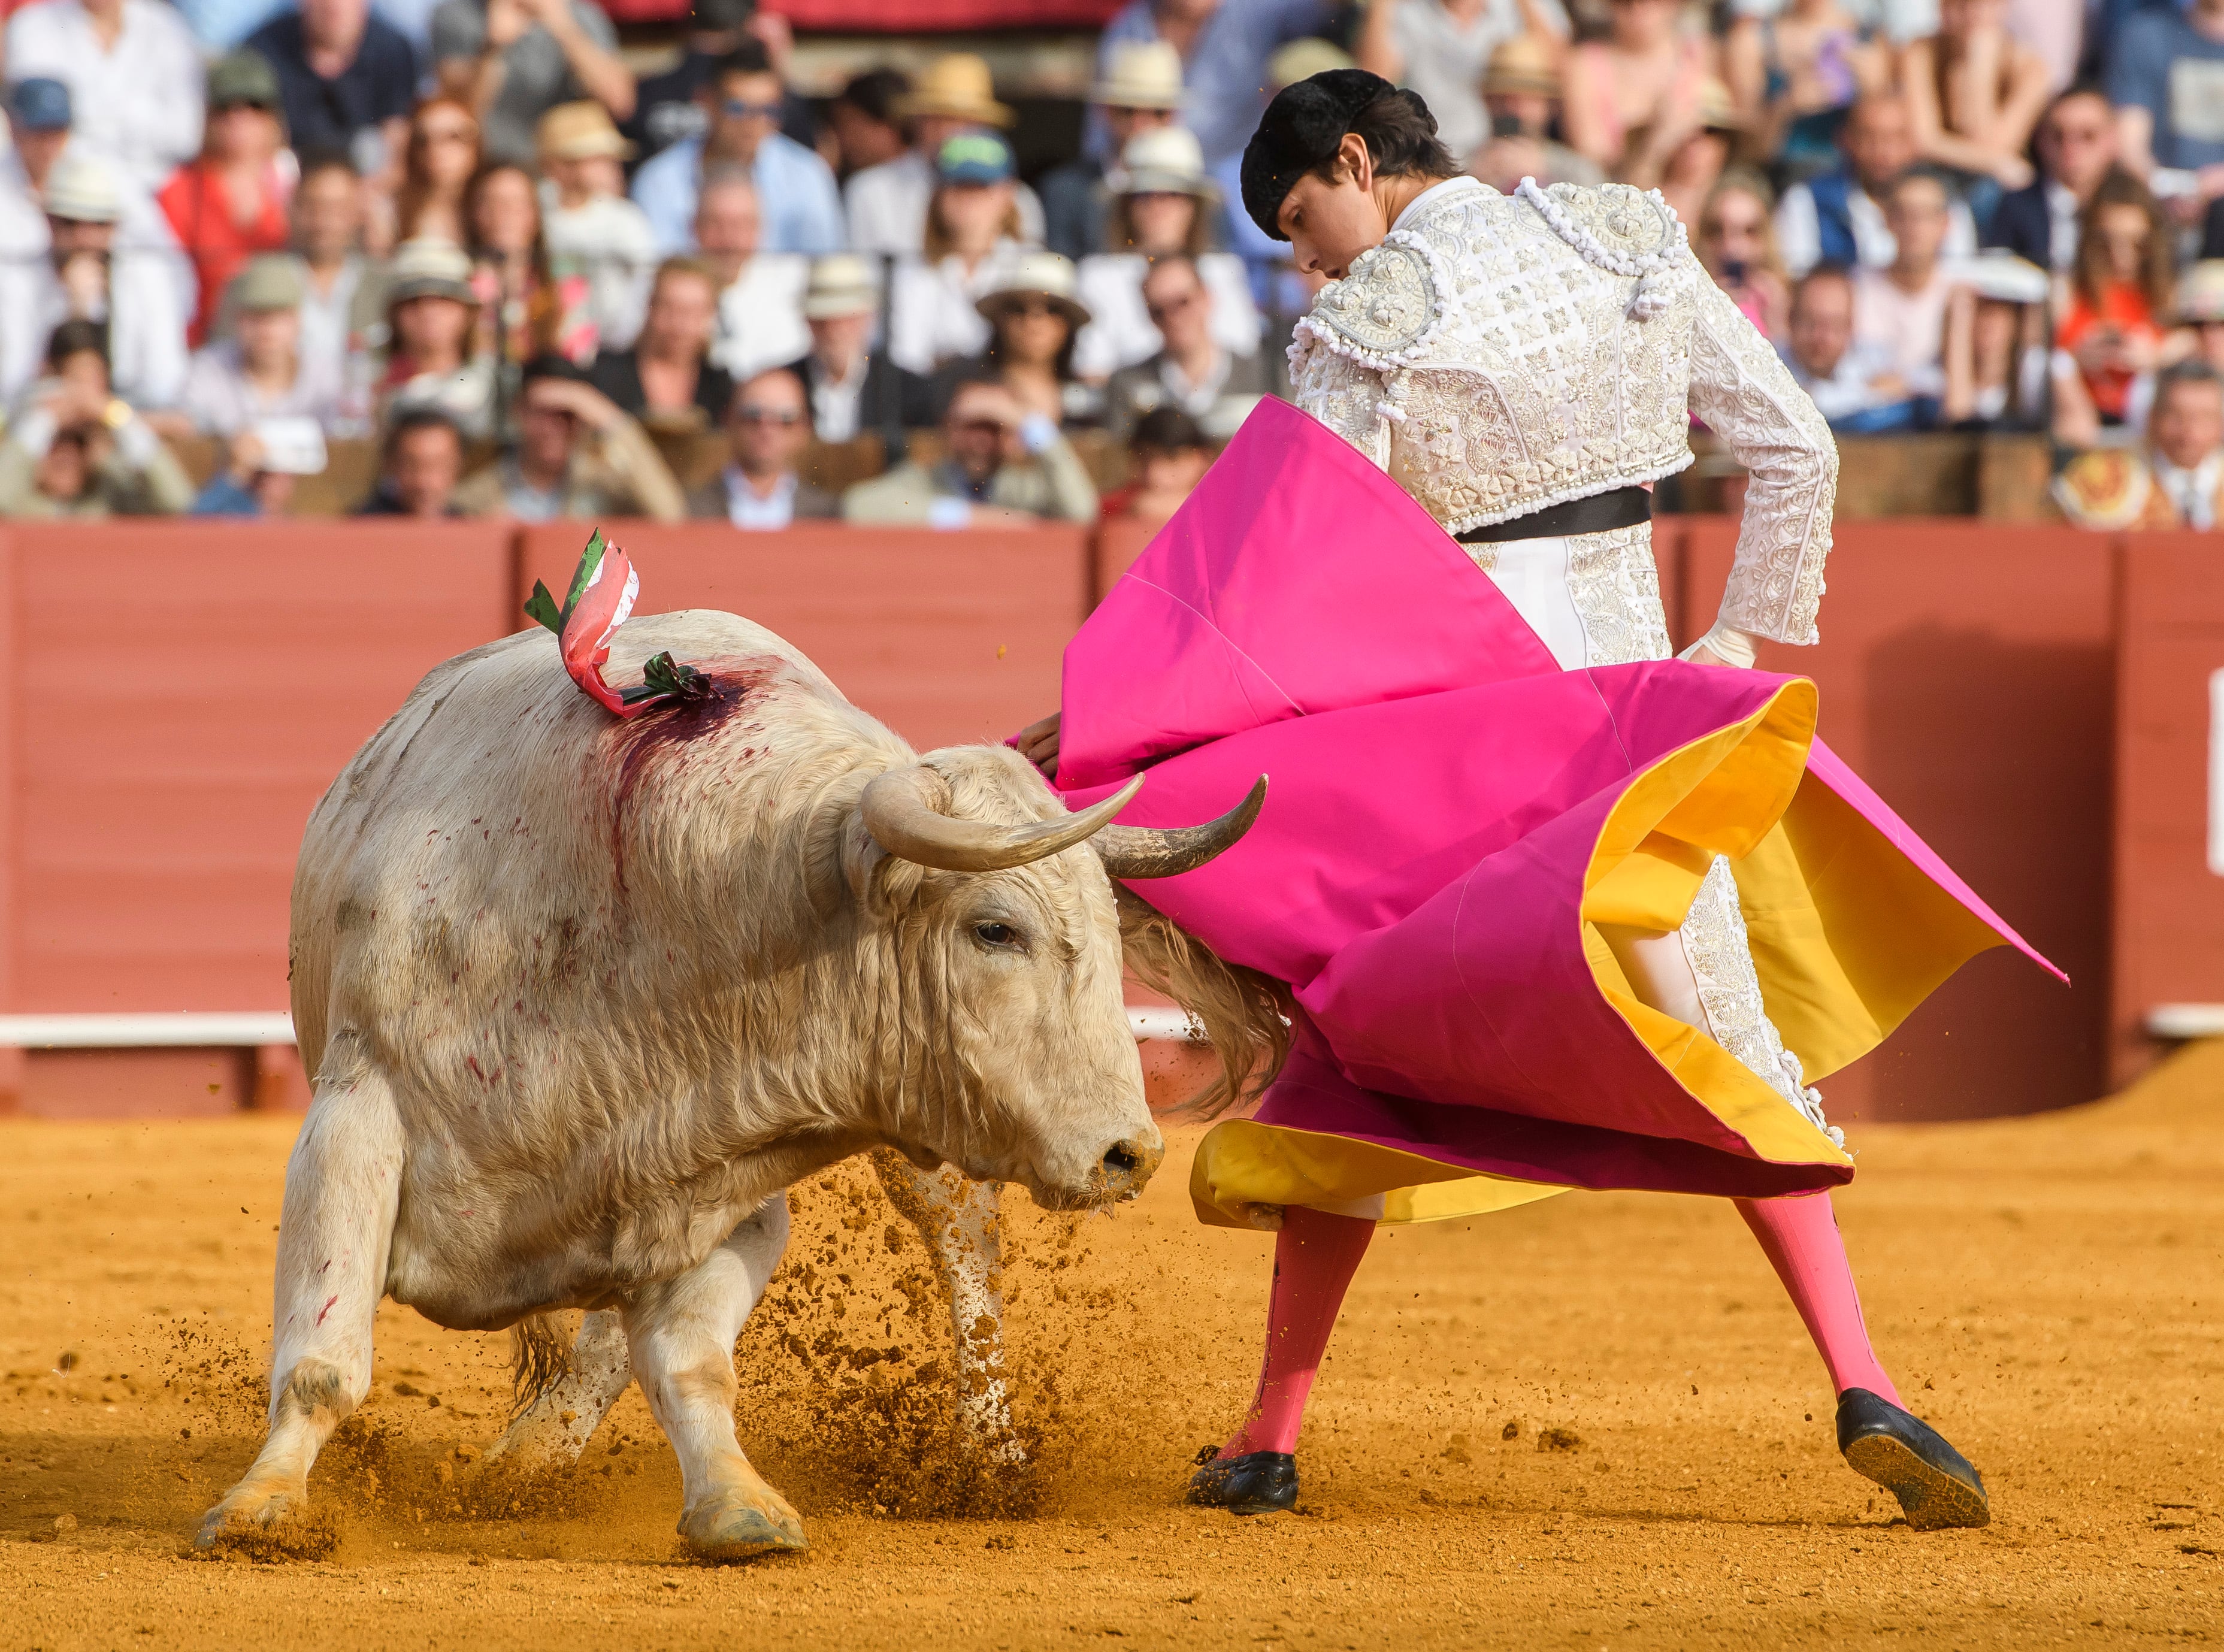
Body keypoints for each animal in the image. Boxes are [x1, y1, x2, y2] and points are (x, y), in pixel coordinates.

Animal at [204, 609, 1272, 1565]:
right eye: (995, 928)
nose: (1128, 1152)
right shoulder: (355, 1115)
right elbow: (324, 1357)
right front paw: (261, 1506)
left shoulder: (721, 1186)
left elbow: (690, 1364)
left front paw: (735, 1505)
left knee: (960, 1248)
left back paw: (990, 1455)